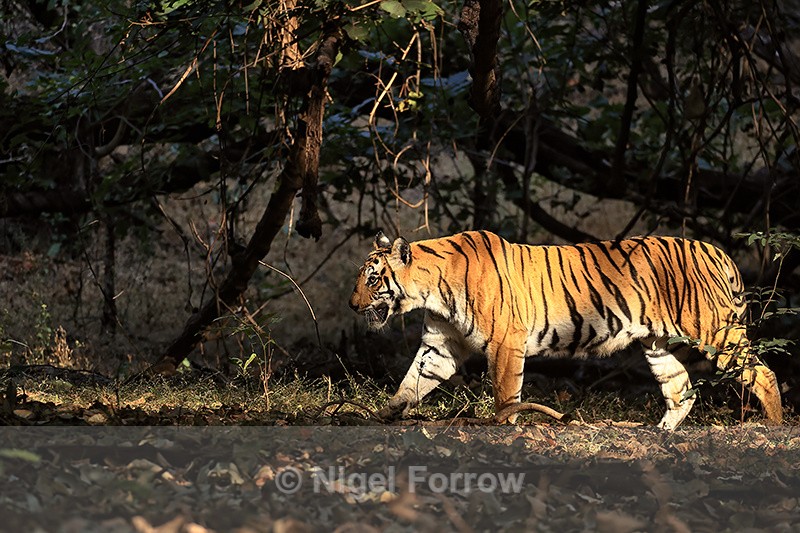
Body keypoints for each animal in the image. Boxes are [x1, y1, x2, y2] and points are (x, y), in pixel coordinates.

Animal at [349, 230, 783, 429]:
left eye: (372, 279)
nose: (352, 306)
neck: (430, 292)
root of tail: (717, 250)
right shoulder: (439, 345)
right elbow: (412, 381)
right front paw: (384, 413)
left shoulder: (505, 342)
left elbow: (505, 392)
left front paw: (502, 426)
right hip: (658, 345)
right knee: (681, 390)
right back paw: (660, 433)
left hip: (716, 332)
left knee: (763, 373)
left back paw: (776, 426)